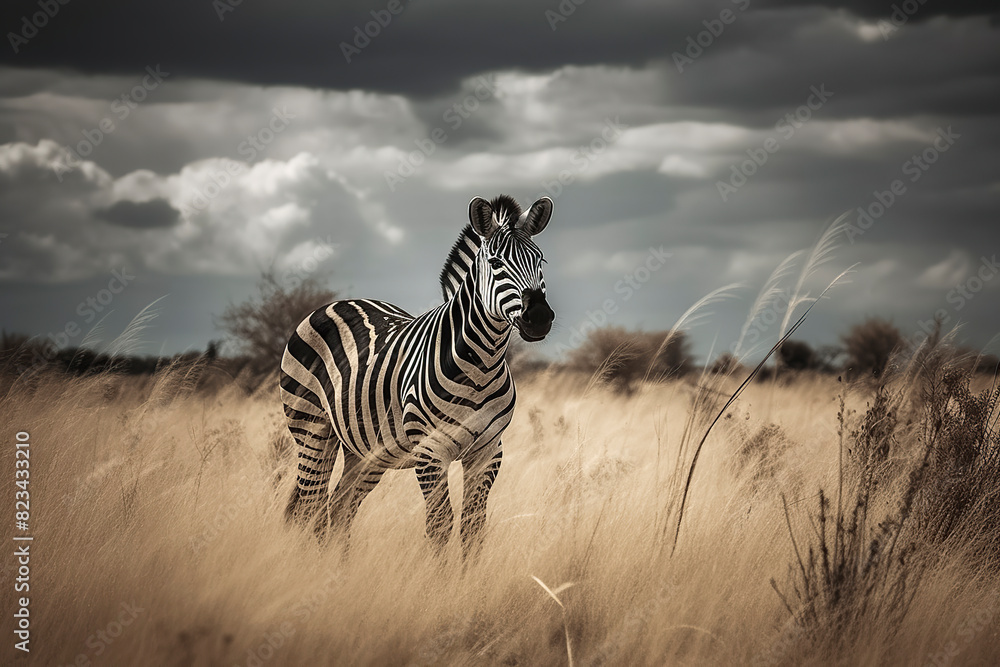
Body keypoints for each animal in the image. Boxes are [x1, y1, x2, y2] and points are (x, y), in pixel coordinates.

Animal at [280, 194, 555, 556]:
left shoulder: (488, 452)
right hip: (312, 429)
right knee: (311, 508)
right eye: (495, 263)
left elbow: (473, 528)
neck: (482, 365)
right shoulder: (430, 452)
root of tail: (338, 302)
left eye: (541, 261)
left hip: (364, 451)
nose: (539, 318)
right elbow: (439, 526)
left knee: (339, 508)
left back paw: (339, 569)